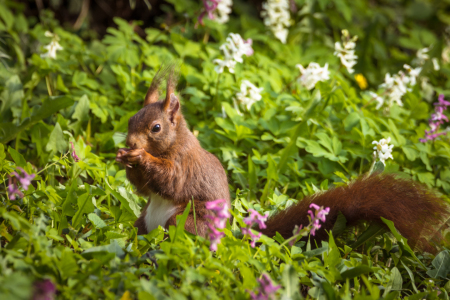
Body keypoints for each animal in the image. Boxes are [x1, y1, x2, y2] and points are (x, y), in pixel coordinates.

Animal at [117, 67, 450, 252]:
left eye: (156, 128)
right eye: (131, 119)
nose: (130, 143)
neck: (174, 144)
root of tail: (228, 239)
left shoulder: (185, 165)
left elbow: (171, 181)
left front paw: (140, 156)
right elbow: (144, 189)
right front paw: (124, 159)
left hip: (188, 221)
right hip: (142, 219)